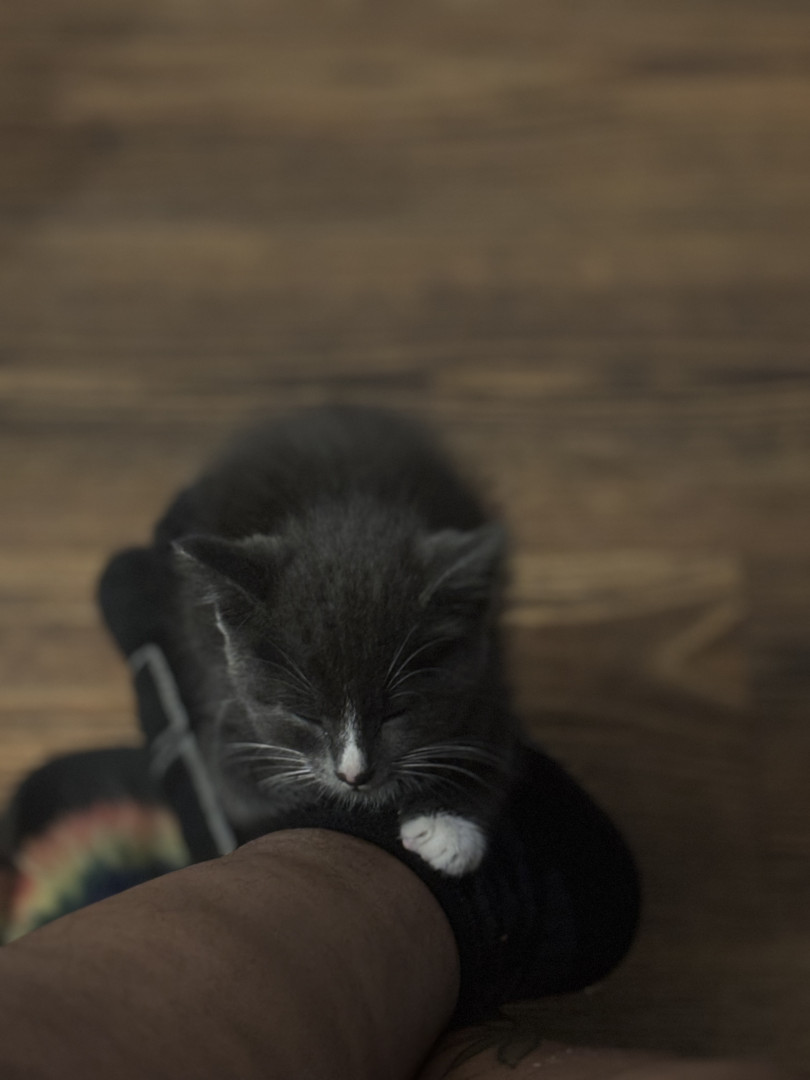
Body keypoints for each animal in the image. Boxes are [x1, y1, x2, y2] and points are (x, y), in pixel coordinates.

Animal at [155, 405, 517, 875]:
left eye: (398, 712)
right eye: (304, 716)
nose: (354, 774)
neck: (344, 511)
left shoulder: (486, 669)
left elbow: (489, 741)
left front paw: (448, 828)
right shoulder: (225, 702)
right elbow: (241, 787)